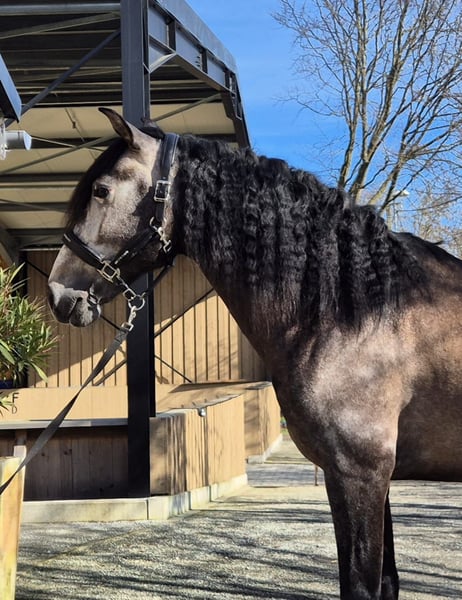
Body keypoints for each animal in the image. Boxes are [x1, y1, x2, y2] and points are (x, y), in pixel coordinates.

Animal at [48, 108, 462, 600]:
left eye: (101, 190)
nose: (58, 293)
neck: (357, 310)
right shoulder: (369, 479)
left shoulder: (360, 474)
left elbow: (361, 585)